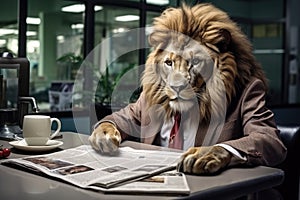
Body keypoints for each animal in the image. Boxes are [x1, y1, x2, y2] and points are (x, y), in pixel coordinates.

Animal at [89, 3, 286, 175]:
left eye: (195, 62)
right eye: (169, 62)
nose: (176, 87)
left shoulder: (254, 96)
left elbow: (264, 134)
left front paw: (204, 154)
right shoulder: (138, 107)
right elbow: (116, 118)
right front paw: (104, 136)